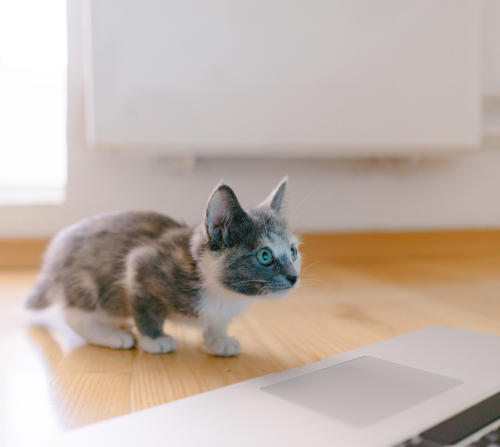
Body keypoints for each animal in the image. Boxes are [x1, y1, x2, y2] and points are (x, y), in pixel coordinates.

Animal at [26, 178, 300, 356]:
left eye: (293, 251)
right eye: (265, 255)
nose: (294, 277)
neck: (221, 292)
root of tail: (52, 259)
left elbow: (217, 322)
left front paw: (218, 340)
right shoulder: (141, 265)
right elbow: (146, 308)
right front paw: (154, 340)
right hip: (88, 282)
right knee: (73, 314)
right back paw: (111, 335)